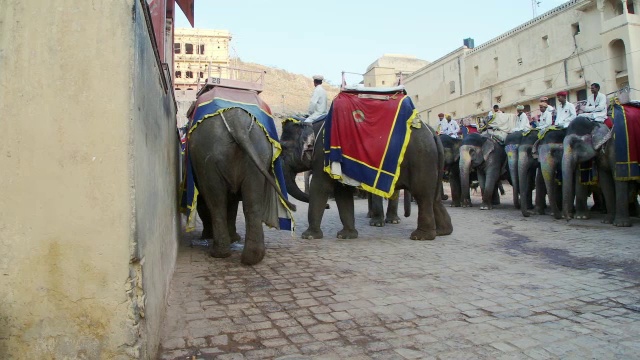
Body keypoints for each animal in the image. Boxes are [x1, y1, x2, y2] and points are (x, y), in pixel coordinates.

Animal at [188, 107, 298, 264]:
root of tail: (237, 122)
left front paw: (209, 236)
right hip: (259, 152)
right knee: (252, 203)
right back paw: (251, 258)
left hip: (206, 158)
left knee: (216, 203)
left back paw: (218, 253)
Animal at [282, 119, 456, 240]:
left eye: (283, 148)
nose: (328, 206)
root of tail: (433, 133)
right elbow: (342, 192)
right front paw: (346, 236)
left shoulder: (323, 156)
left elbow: (320, 187)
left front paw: (309, 236)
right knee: (434, 198)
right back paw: (442, 232)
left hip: (422, 158)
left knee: (422, 195)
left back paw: (420, 236)